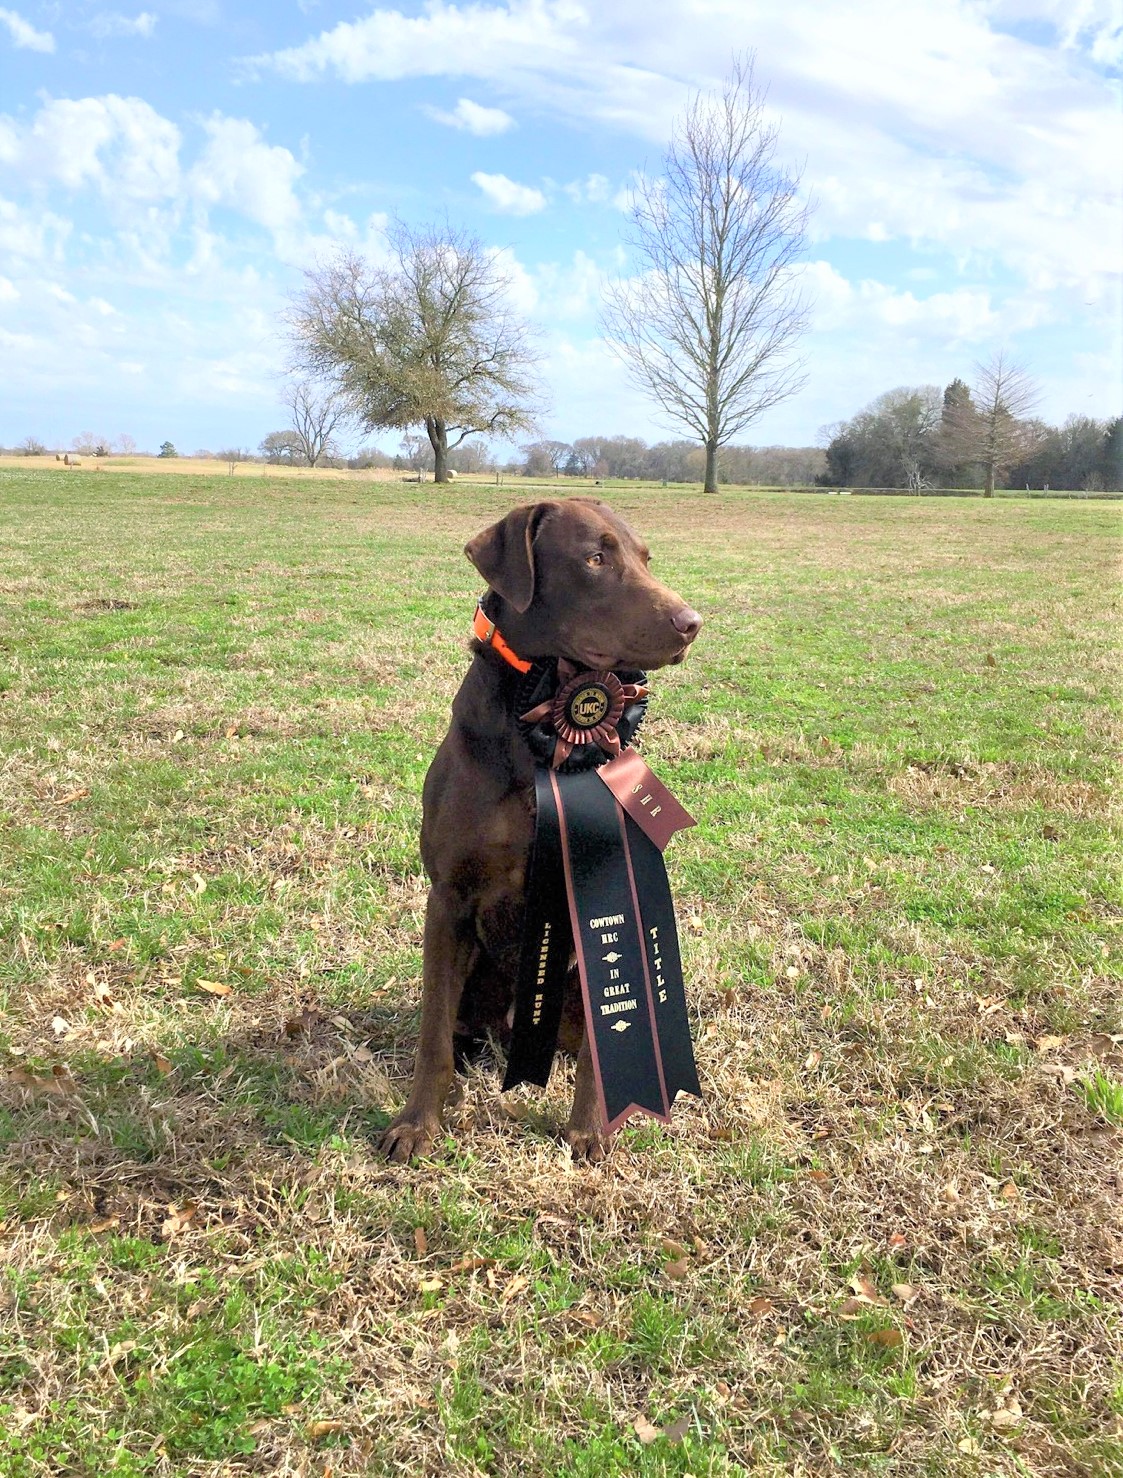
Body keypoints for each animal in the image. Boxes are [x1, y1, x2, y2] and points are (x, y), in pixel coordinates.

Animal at [378, 502, 703, 1158]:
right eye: (595, 557)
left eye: (645, 558)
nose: (692, 623)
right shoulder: (449, 895)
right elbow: (432, 1036)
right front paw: (417, 1123)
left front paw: (589, 1129)